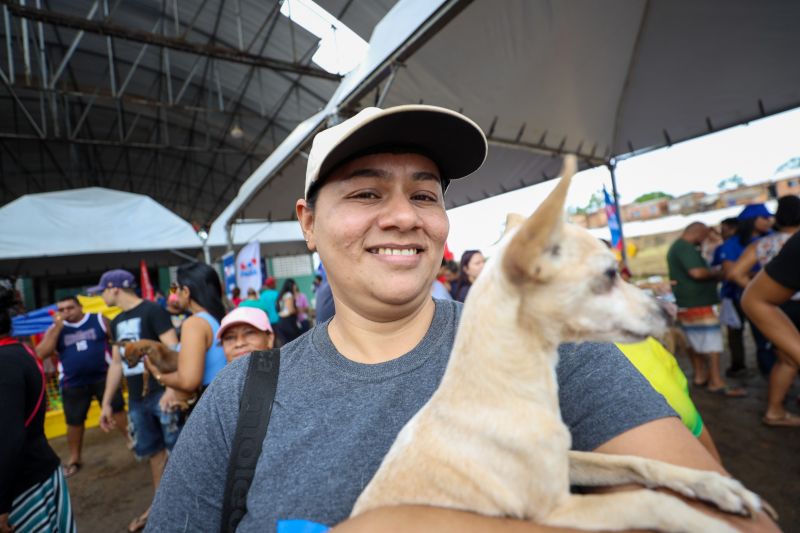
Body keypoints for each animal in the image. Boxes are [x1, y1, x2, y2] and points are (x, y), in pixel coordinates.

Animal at [348, 155, 768, 532]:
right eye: (610, 274)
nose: (669, 310)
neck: (506, 392)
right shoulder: (554, 511)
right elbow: (651, 501)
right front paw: (709, 523)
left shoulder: (566, 461)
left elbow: (637, 463)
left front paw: (713, 485)